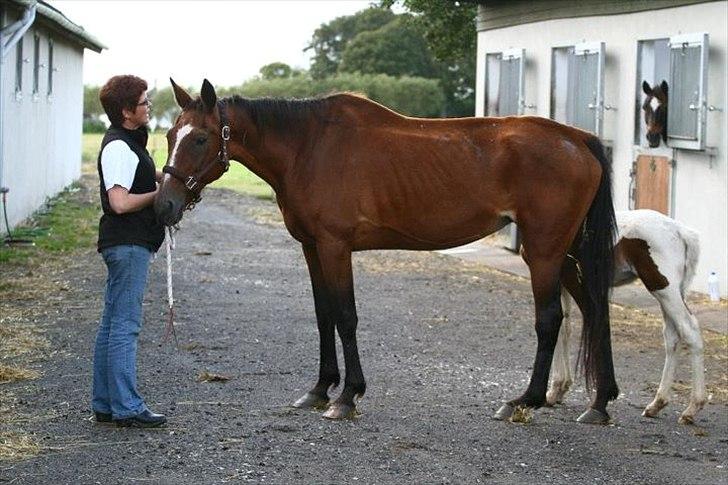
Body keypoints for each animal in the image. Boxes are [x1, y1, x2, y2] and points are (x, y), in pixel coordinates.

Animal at [156, 79, 616, 424]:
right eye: (169, 135)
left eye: (200, 138)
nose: (165, 205)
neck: (309, 146)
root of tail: (578, 138)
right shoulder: (311, 248)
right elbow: (323, 316)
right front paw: (319, 390)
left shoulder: (335, 246)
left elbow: (345, 317)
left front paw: (347, 397)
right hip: (567, 253)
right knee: (595, 310)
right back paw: (599, 403)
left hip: (543, 252)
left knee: (550, 319)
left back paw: (525, 400)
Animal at [552, 210, 704, 422]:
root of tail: (681, 232)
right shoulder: (564, 282)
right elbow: (564, 328)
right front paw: (558, 390)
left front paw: (554, 390)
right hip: (671, 293)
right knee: (672, 336)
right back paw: (657, 404)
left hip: (663, 288)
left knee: (689, 330)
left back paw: (692, 408)